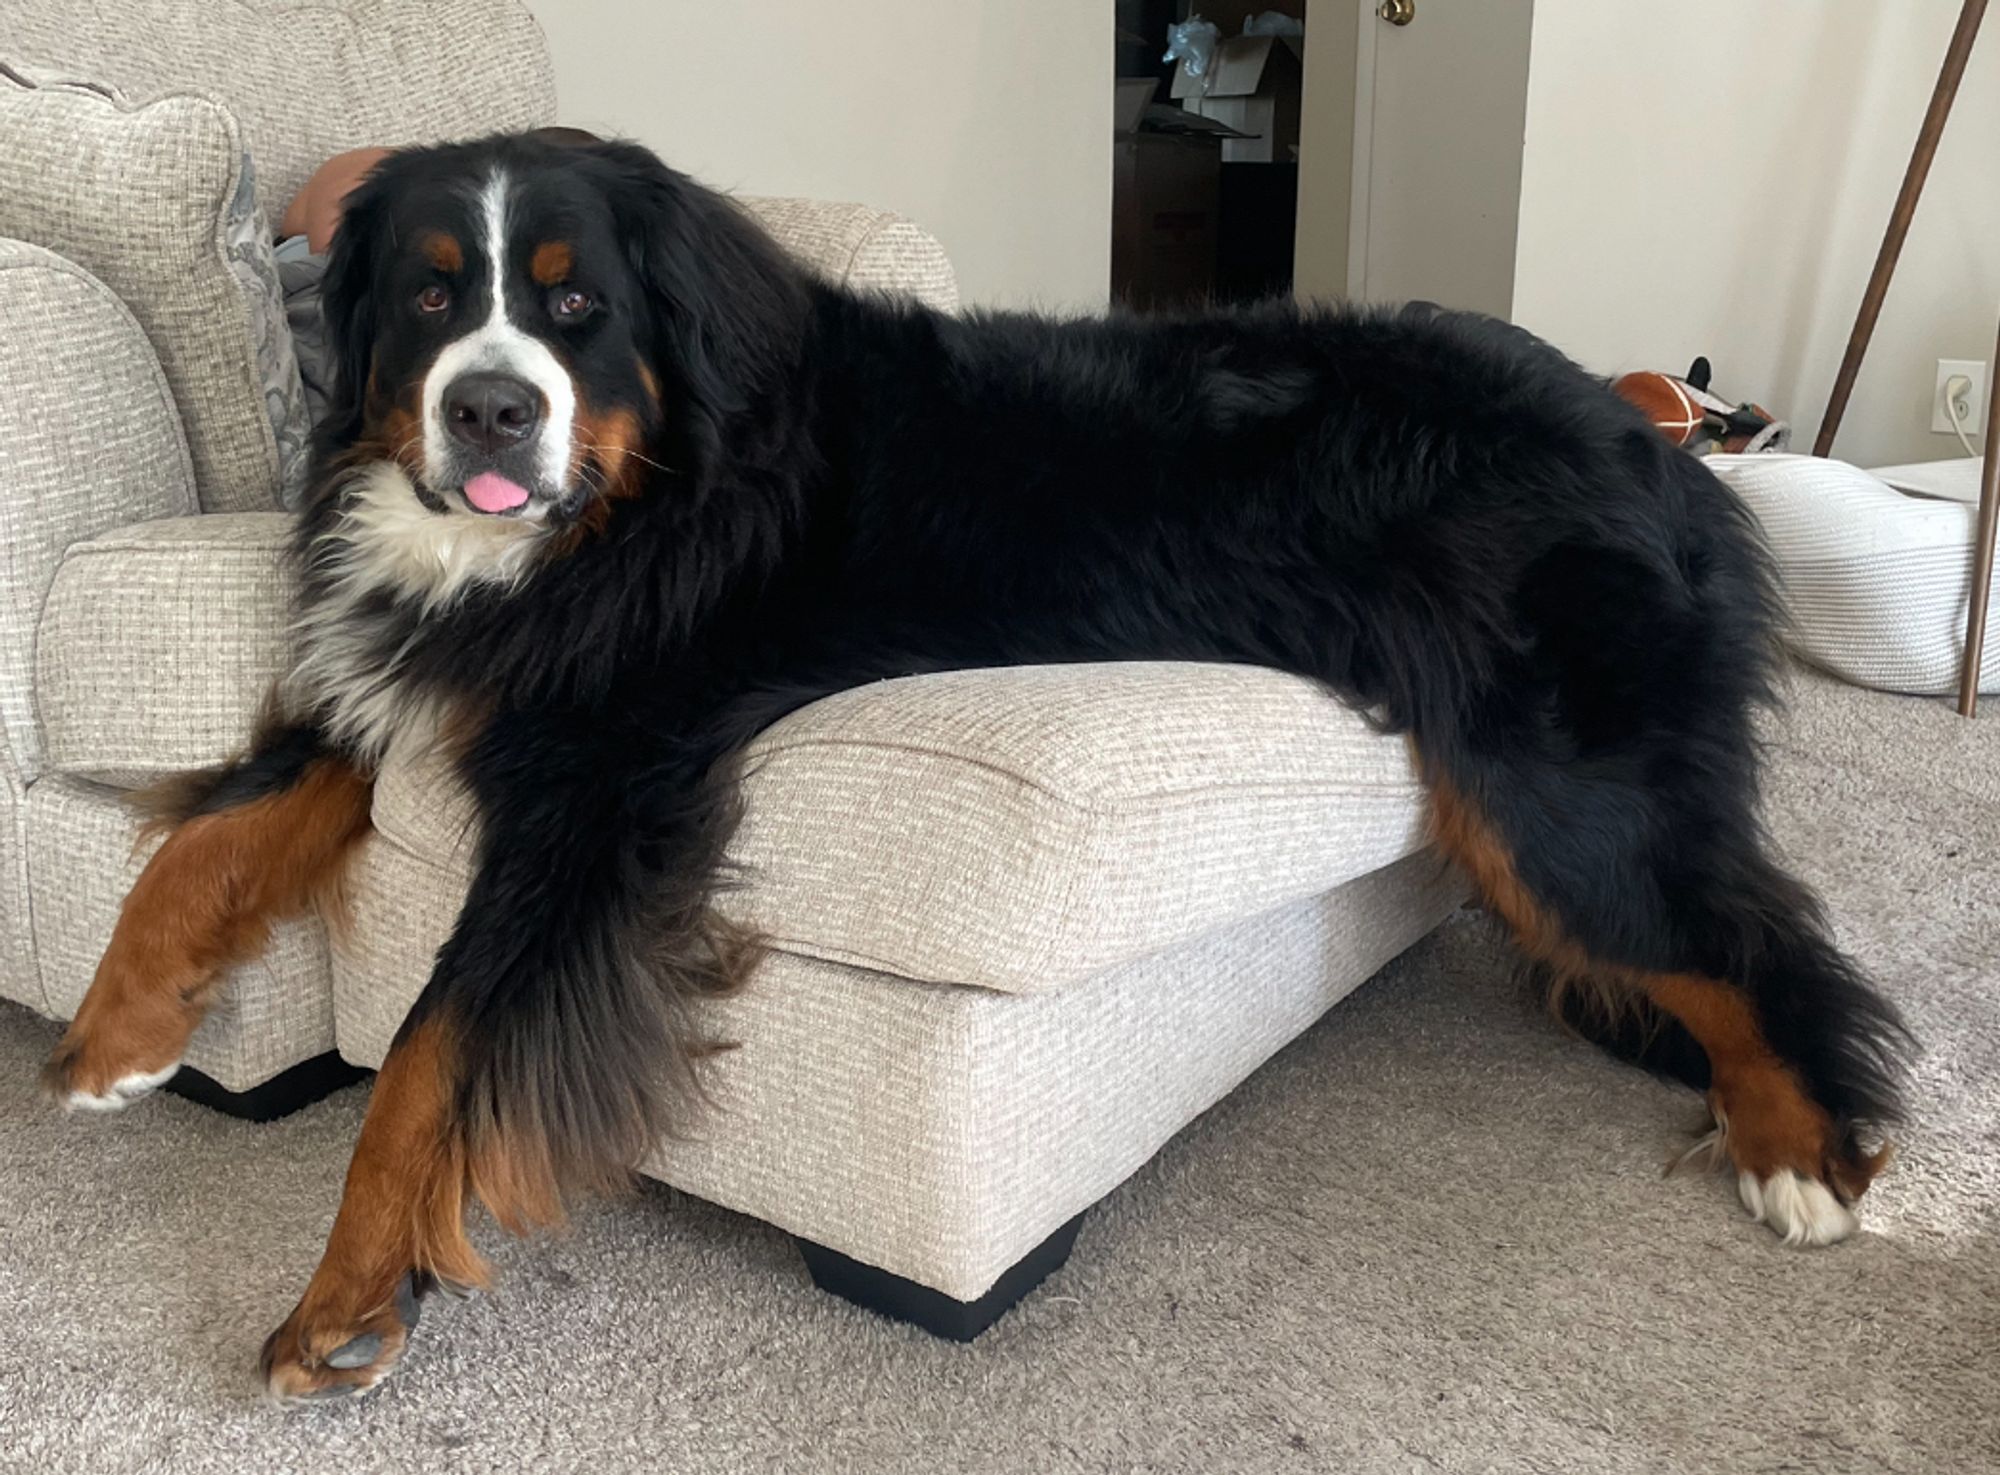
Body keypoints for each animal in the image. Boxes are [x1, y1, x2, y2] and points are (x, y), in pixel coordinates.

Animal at [35, 131, 1904, 1399]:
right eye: (432, 296)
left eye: (573, 307)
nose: (492, 408)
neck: (605, 521)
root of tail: (1649, 435)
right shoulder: (416, 688)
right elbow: (202, 837)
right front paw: (119, 1035)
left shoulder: (588, 788)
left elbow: (426, 1059)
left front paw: (345, 1297)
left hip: (1552, 782)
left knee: (1750, 947)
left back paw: (1801, 1152)